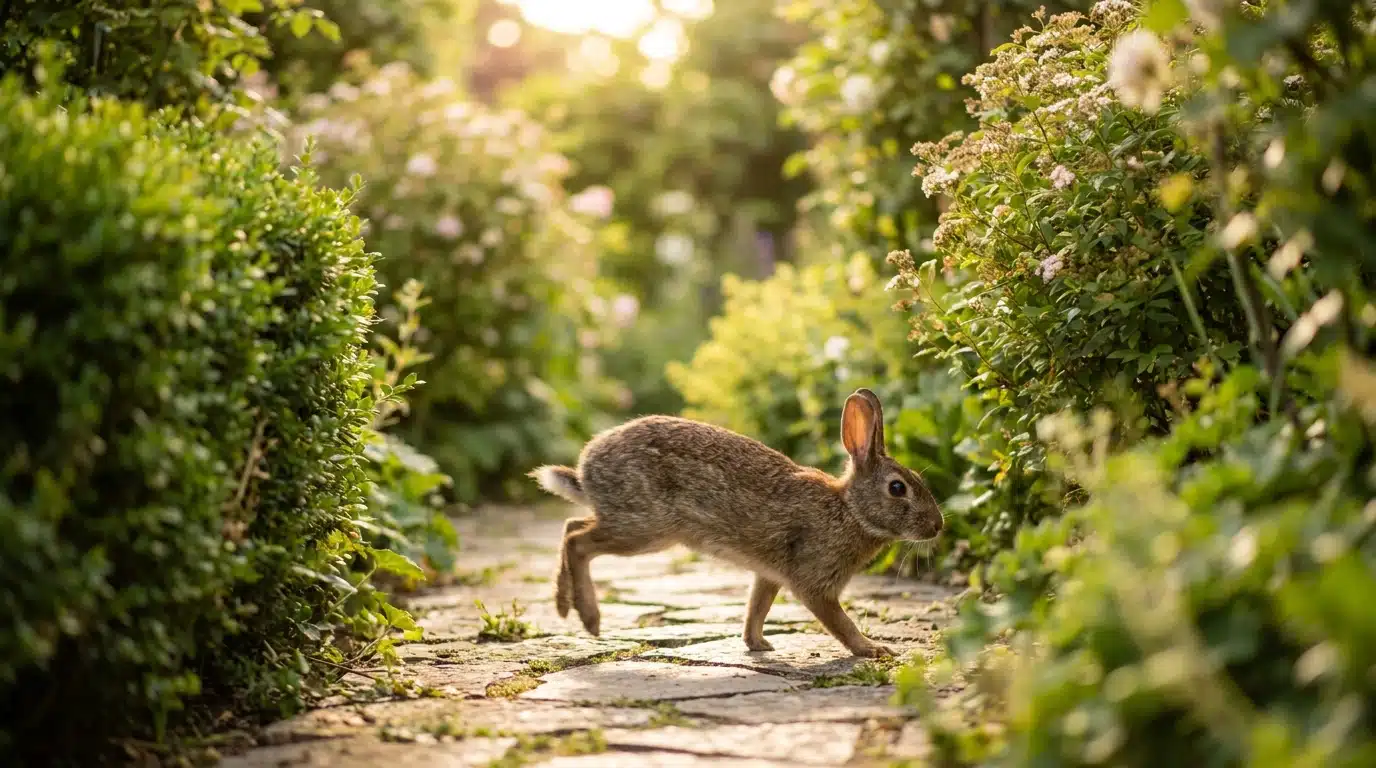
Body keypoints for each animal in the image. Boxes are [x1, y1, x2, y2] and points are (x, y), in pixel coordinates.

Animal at [529, 387, 942, 658]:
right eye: (897, 488)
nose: (937, 526)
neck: (850, 509)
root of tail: (587, 470)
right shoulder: (815, 582)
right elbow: (840, 622)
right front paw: (872, 649)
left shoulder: (769, 575)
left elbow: (756, 608)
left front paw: (756, 644)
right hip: (646, 528)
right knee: (578, 541)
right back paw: (587, 616)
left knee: (571, 526)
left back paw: (564, 605)